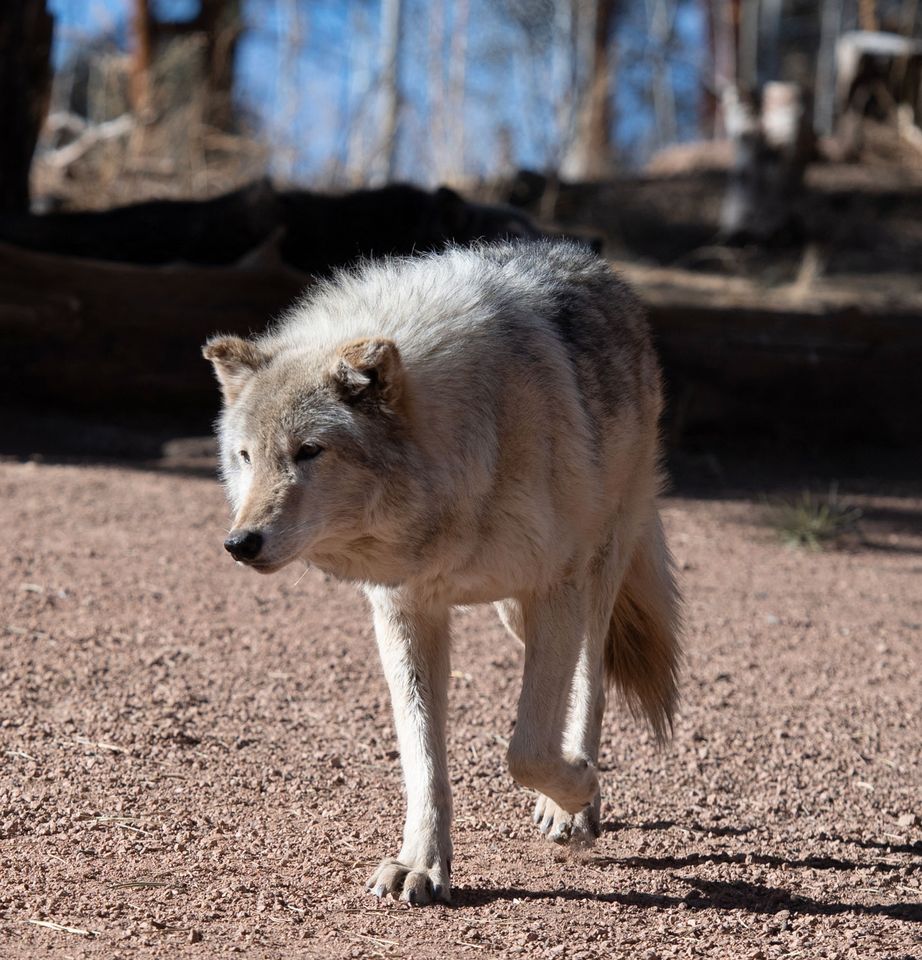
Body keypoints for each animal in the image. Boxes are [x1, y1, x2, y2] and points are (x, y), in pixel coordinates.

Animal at [203, 241, 681, 906]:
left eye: (309, 451)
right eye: (246, 456)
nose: (239, 543)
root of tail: (588, 260)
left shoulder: (553, 589)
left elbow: (525, 750)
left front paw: (580, 788)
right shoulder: (405, 610)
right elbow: (423, 759)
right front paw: (422, 865)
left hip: (591, 576)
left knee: (592, 681)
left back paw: (574, 806)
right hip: (514, 615)